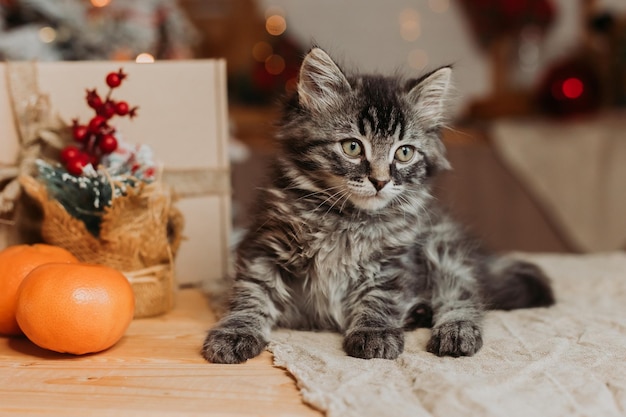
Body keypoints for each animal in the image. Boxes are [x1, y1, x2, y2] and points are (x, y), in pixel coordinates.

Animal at [202, 47, 552, 362]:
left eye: (404, 152)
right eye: (352, 147)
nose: (380, 181)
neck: (345, 218)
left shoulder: (393, 260)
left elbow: (380, 298)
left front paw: (375, 333)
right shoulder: (264, 246)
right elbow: (252, 293)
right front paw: (235, 333)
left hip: (443, 250)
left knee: (464, 295)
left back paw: (455, 331)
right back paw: (418, 314)